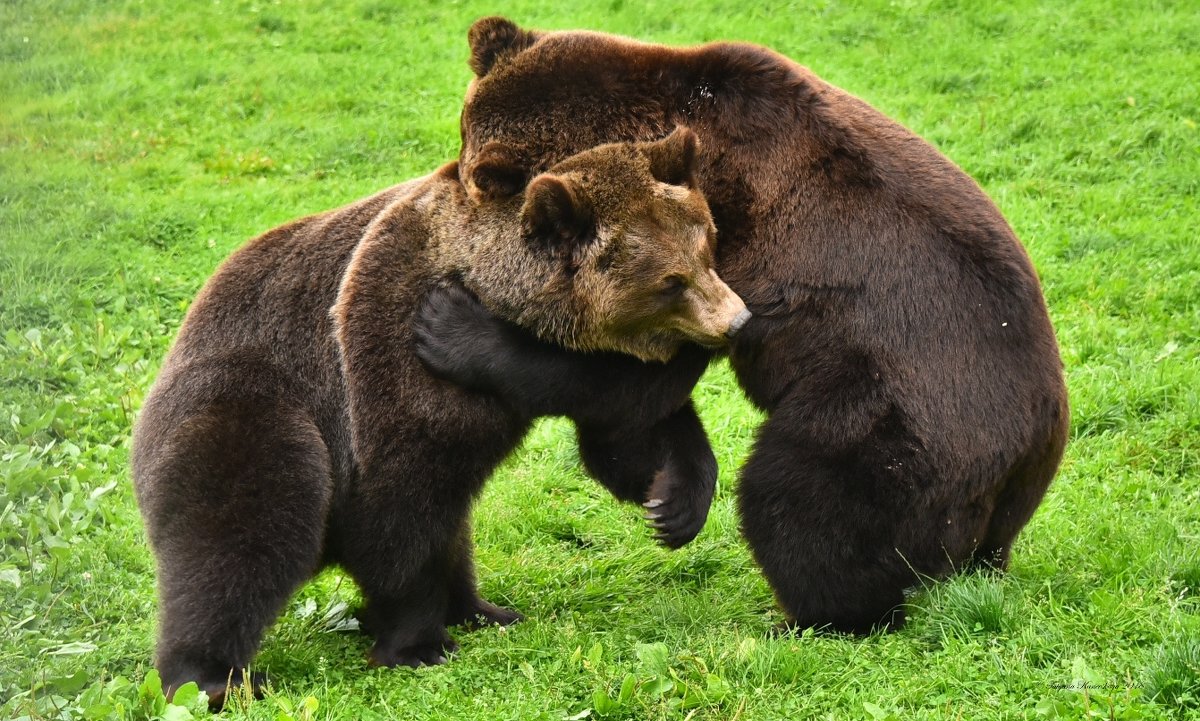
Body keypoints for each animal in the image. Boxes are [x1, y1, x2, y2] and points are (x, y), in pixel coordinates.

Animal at [133, 126, 748, 705]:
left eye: (708, 248)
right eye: (670, 282)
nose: (737, 321)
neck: (486, 291)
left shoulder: (554, 374)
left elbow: (624, 433)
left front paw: (675, 503)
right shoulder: (388, 349)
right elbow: (398, 506)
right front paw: (416, 644)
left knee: (453, 525)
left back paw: (483, 609)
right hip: (248, 404)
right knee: (241, 529)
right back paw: (209, 675)